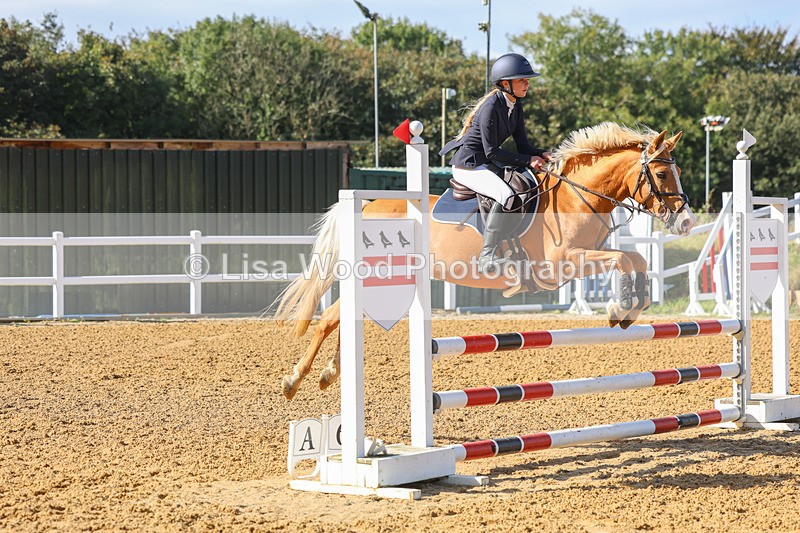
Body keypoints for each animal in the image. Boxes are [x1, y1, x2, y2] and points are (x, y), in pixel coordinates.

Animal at [275, 122, 694, 400]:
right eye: (661, 173)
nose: (687, 221)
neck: (577, 197)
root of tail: (368, 204)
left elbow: (635, 259)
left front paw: (629, 311)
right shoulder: (562, 264)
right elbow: (623, 260)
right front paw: (617, 309)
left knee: (345, 318)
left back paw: (328, 373)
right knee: (330, 318)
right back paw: (295, 380)